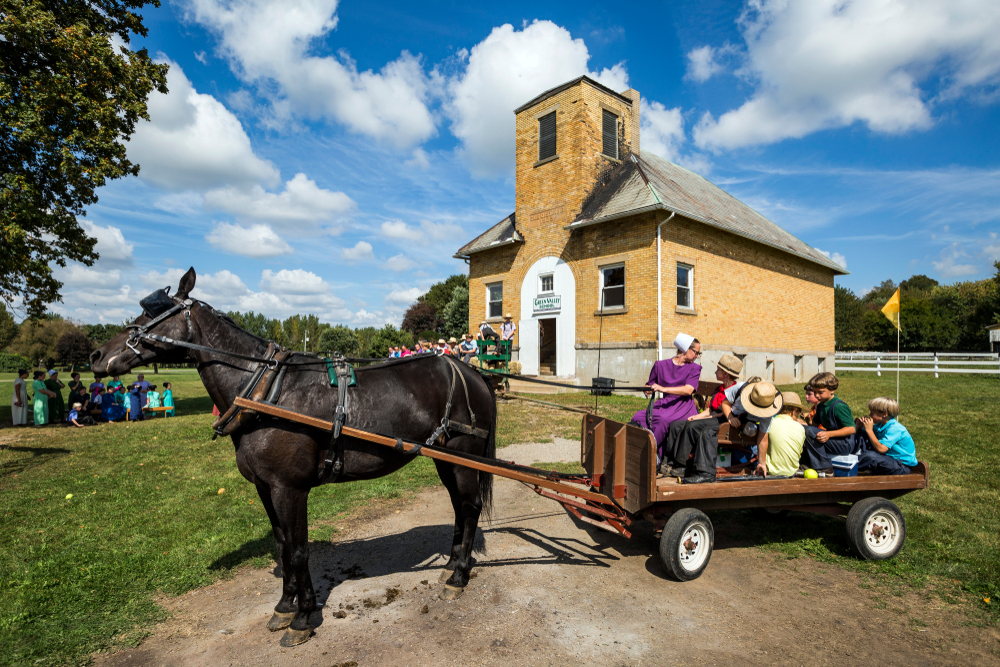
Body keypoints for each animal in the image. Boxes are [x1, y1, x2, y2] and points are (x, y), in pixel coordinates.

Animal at [88, 270, 494, 648]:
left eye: (152, 311)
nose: (95, 356)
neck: (267, 393)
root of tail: (471, 371)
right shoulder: (266, 489)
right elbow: (283, 546)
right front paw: (285, 606)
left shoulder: (290, 488)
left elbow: (299, 551)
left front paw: (303, 618)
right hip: (444, 459)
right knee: (459, 507)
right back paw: (453, 563)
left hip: (463, 456)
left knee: (470, 506)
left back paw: (459, 575)